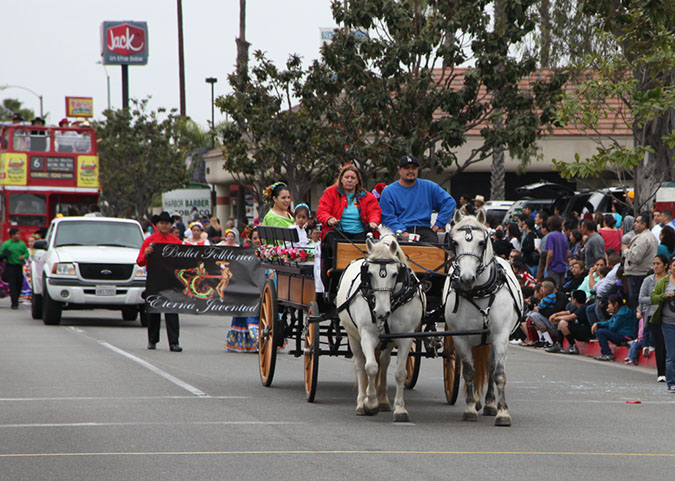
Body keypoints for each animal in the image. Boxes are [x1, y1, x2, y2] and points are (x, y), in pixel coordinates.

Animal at [336, 234, 426, 422]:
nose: (381, 312)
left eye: (395, 274)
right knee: (360, 364)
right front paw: (370, 404)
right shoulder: (367, 335)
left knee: (384, 362)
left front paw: (400, 409)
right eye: (369, 273)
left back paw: (383, 400)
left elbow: (399, 372)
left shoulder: (405, 337)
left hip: (388, 342)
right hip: (352, 335)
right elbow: (370, 367)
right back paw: (361, 402)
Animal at [446, 210, 524, 424]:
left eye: (481, 242)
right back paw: (477, 402)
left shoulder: (500, 335)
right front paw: (470, 408)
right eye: (454, 242)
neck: (479, 292)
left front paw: (502, 412)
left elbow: (498, 373)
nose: (466, 279)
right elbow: (469, 371)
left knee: (489, 367)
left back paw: (489, 404)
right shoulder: (460, 337)